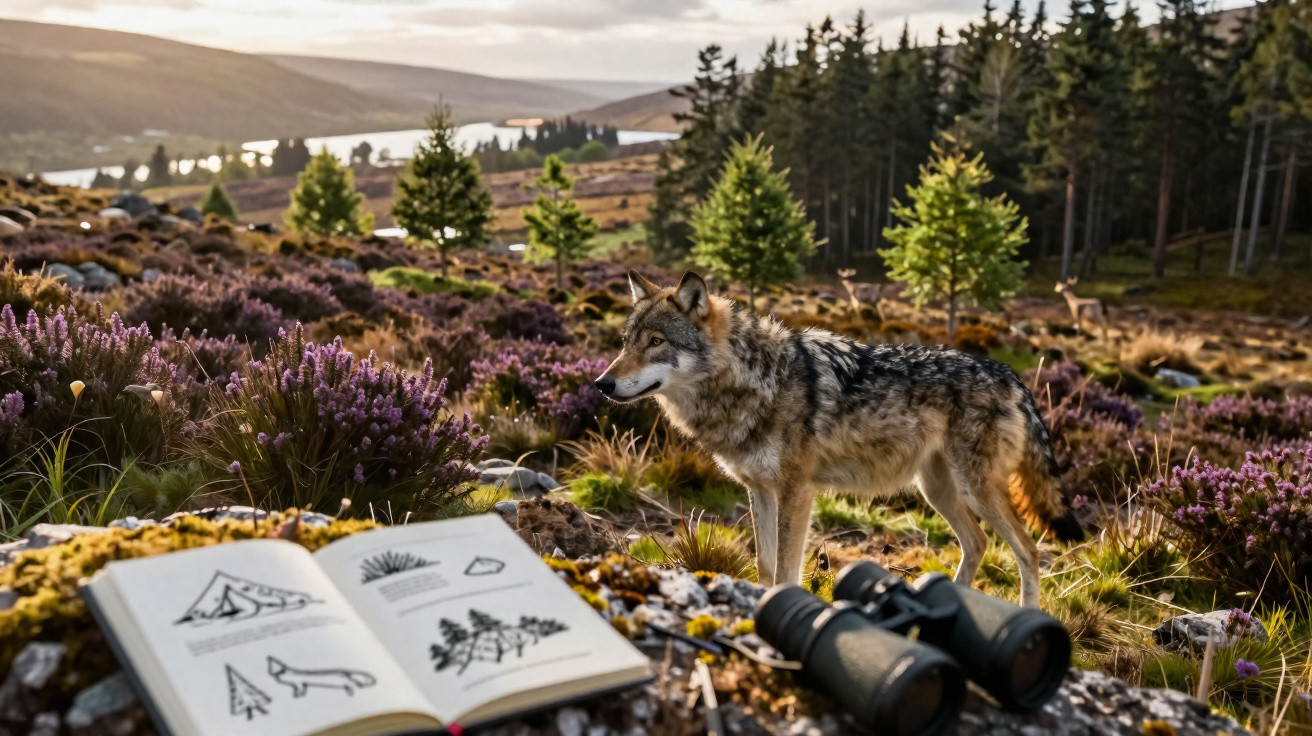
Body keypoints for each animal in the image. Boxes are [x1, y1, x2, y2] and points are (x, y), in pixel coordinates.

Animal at [595, 270, 1084, 608]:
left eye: (656, 341)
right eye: (626, 342)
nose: (601, 383)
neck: (756, 380)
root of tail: (1011, 376)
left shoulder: (797, 491)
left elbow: (787, 568)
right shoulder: (760, 490)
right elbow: (766, 564)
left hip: (974, 489)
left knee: (1029, 552)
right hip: (938, 490)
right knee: (979, 543)